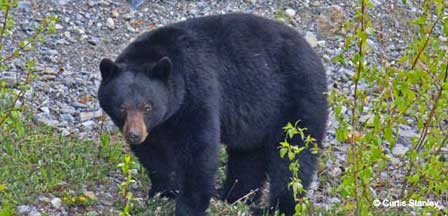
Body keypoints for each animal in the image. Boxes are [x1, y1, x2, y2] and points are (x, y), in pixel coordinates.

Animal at [98, 13, 328, 216]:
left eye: (147, 107)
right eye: (122, 107)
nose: (134, 135)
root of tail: (315, 56)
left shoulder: (197, 92)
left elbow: (199, 150)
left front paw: (188, 206)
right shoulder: (157, 127)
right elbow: (153, 153)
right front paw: (163, 191)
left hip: (296, 98)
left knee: (293, 157)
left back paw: (276, 207)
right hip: (257, 118)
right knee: (248, 156)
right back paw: (234, 196)